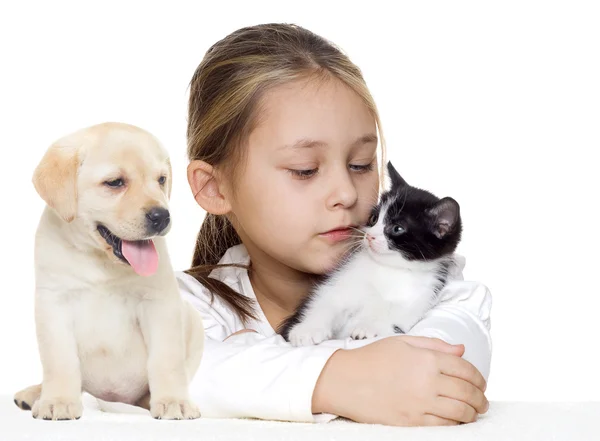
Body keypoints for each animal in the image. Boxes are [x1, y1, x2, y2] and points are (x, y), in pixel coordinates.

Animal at [11, 121, 204, 420]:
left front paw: (174, 401)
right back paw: (36, 394)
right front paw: (57, 400)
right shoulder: (53, 302)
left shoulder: (159, 302)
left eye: (161, 180)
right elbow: (59, 360)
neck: (100, 261)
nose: (162, 216)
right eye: (115, 183)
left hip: (193, 321)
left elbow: (166, 359)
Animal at [278, 160, 462, 346]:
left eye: (397, 228)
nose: (370, 236)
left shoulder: (419, 299)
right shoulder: (343, 279)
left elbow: (393, 318)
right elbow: (327, 301)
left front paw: (368, 327)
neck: (390, 269)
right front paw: (307, 329)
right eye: (374, 219)